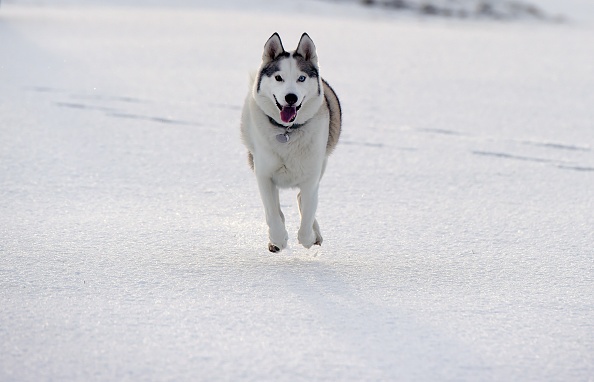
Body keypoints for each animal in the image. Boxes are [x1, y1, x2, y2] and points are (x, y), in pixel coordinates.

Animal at [240, 32, 342, 252]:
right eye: (278, 77)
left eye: (301, 78)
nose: (291, 97)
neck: (286, 131)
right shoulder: (264, 175)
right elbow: (272, 213)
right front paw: (278, 239)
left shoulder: (311, 178)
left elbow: (307, 214)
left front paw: (308, 238)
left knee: (302, 200)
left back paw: (315, 234)